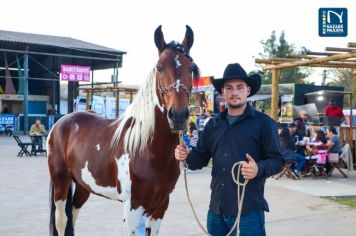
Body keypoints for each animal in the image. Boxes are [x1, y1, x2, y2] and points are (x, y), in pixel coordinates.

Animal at [47, 24, 199, 236]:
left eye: (191, 68)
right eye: (159, 68)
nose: (178, 116)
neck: (148, 150)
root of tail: (61, 122)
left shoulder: (160, 207)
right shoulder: (133, 208)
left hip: (84, 185)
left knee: (73, 217)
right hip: (61, 183)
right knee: (62, 222)